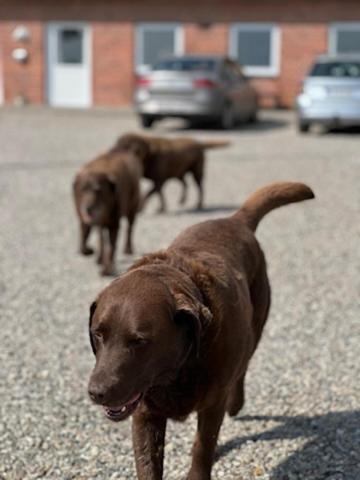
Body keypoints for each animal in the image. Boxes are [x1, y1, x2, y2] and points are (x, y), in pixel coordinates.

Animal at [72, 144, 141, 276]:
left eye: (98, 190)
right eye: (83, 189)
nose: (88, 208)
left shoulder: (114, 223)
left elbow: (112, 246)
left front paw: (107, 268)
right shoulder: (85, 220)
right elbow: (84, 245)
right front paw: (90, 251)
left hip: (132, 207)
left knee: (129, 229)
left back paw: (127, 249)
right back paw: (99, 257)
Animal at [87, 182, 316, 478]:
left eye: (139, 341)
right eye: (98, 334)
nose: (96, 392)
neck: (176, 373)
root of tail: (235, 220)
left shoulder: (211, 404)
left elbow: (203, 445)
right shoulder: (145, 414)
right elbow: (147, 463)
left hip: (254, 328)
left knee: (243, 366)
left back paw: (236, 402)